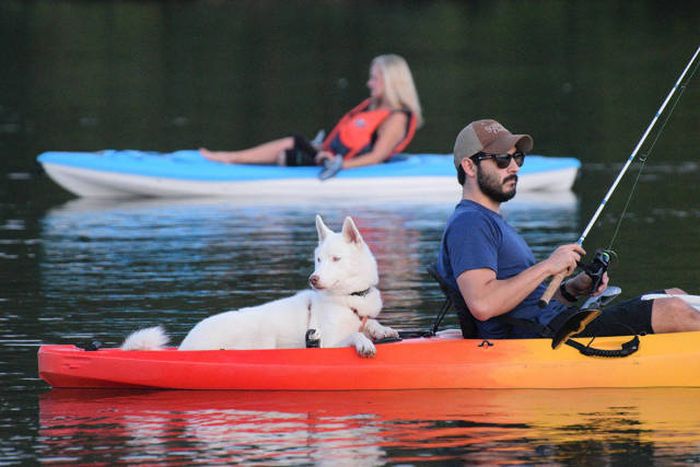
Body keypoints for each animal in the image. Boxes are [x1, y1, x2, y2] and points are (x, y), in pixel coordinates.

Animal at [120, 216, 400, 358]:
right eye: (318, 259)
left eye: (336, 259)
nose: (313, 279)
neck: (349, 298)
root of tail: (185, 347)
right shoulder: (328, 342)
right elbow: (353, 335)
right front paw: (364, 342)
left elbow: (370, 324)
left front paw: (381, 329)